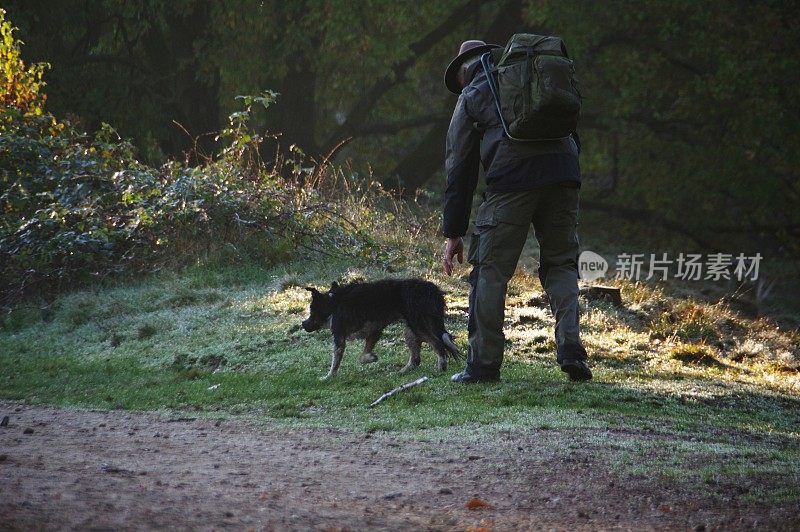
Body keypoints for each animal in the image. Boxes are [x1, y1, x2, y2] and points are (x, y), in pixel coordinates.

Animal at [300, 278, 462, 378]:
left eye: (311, 311)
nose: (303, 324)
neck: (333, 302)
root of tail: (432, 290)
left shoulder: (339, 337)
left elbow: (335, 363)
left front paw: (328, 377)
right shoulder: (375, 330)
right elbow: (363, 354)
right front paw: (370, 358)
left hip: (418, 326)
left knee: (438, 344)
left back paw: (440, 368)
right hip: (410, 330)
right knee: (416, 358)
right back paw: (402, 372)